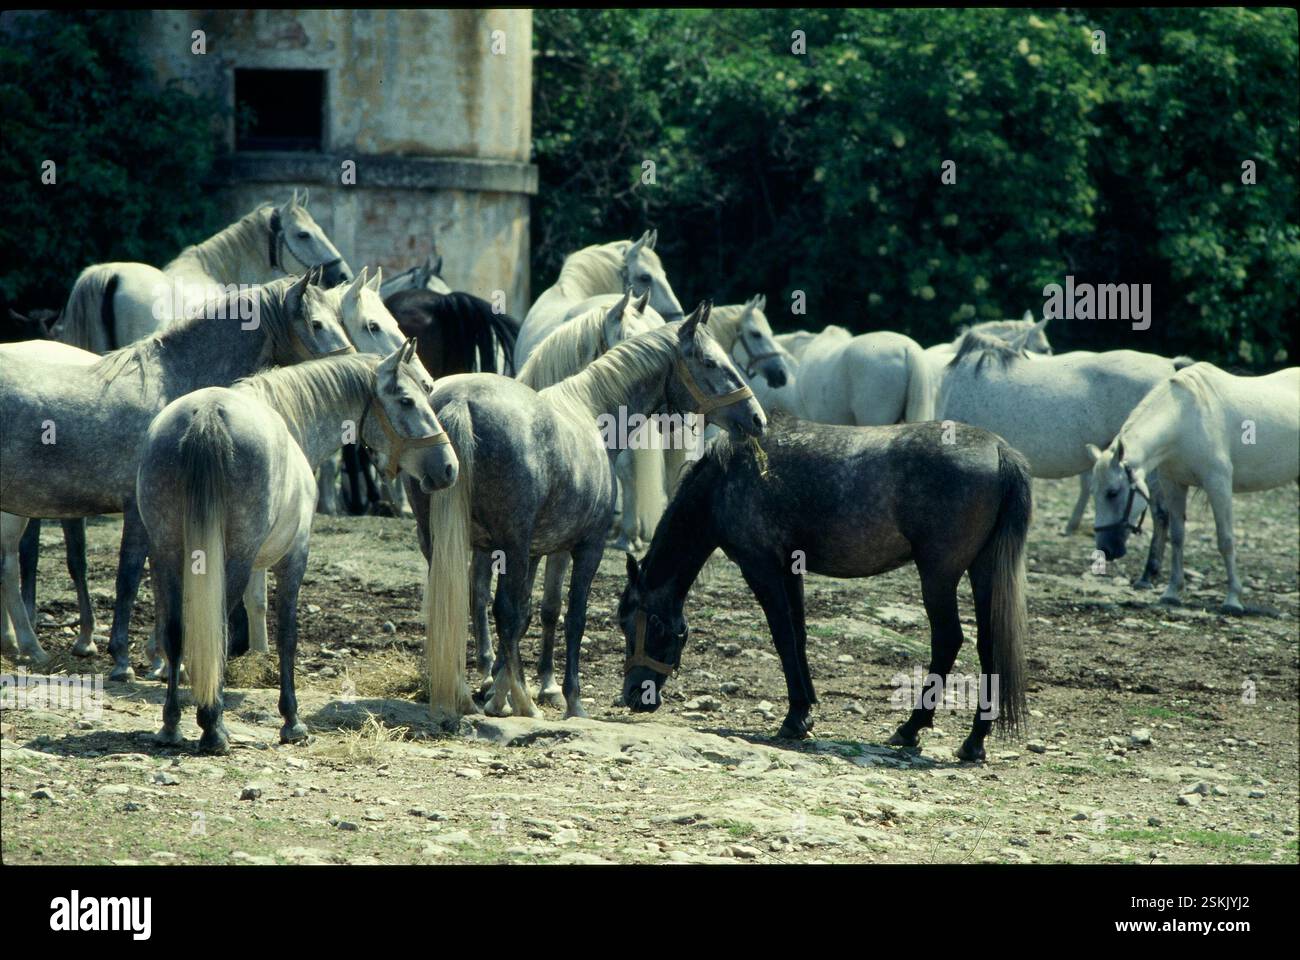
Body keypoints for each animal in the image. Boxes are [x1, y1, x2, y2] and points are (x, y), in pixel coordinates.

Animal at [0, 271, 352, 674]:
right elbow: (130, 577)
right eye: (317, 323)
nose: (353, 363)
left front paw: (161, 657)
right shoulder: (138, 512)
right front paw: (124, 657)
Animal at [136, 342, 457, 753]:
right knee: (216, 630)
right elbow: (287, 635)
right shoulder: (294, 557)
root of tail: (206, 416)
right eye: (407, 400)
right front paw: (292, 721)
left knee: (174, 630)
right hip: (230, 559)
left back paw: (171, 726)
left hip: (165, 554)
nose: (448, 467)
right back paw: (213, 728)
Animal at [413, 304, 766, 723]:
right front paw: (568, 700)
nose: (757, 418)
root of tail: (461, 402)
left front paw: (499, 694)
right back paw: (525, 703)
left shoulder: (536, 552)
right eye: (711, 362)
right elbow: (570, 618)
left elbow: (529, 614)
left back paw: (464, 692)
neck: (591, 411)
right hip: (508, 546)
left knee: (456, 605)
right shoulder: (585, 549)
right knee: (499, 609)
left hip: (443, 542)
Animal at [618, 413, 1031, 762]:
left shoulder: (760, 566)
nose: (634, 696)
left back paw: (911, 728)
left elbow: (783, 636)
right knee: (987, 644)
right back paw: (974, 741)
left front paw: (794, 718)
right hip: (982, 571)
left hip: (938, 574)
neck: (728, 477)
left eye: (640, 624)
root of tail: (999, 451)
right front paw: (805, 711)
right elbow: (798, 634)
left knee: (947, 640)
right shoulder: (790, 568)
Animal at [1088, 362, 1299, 613]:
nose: (1105, 550)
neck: (1184, 418)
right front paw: (1172, 592)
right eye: (1094, 493)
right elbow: (1178, 537)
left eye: (1112, 492)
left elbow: (1225, 540)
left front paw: (1232, 599)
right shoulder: (1174, 485)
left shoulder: (1218, 484)